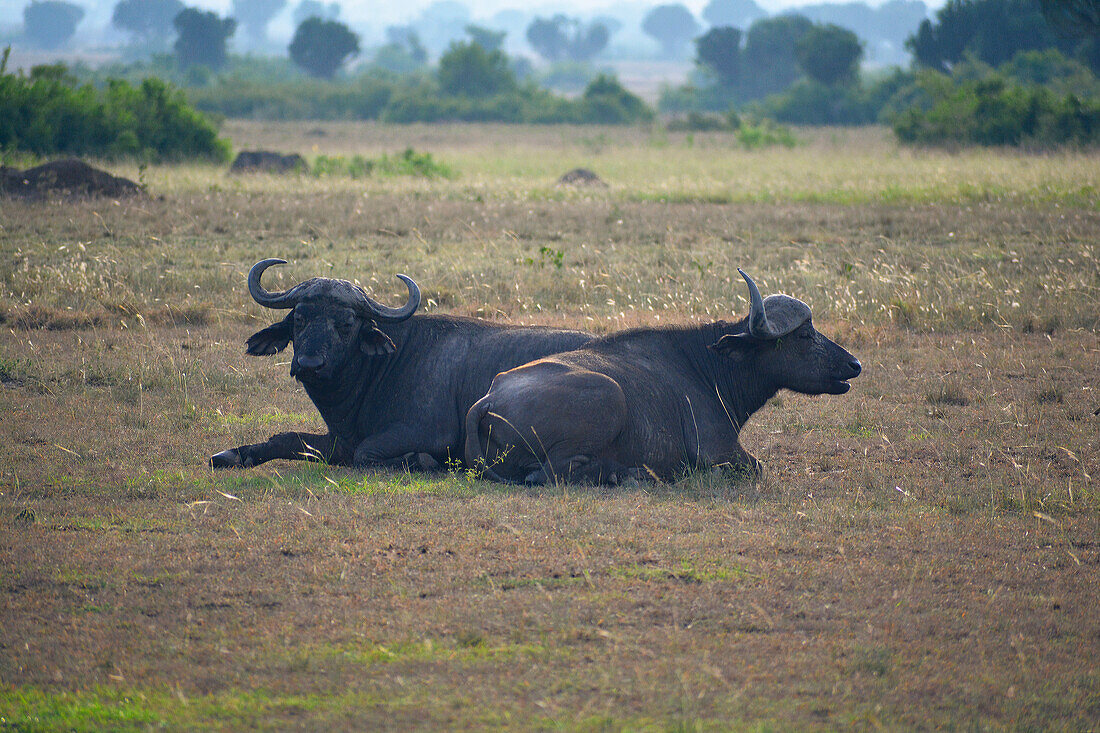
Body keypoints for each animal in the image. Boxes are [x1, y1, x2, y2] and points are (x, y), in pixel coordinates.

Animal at [209, 259, 589, 468]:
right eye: (299, 318)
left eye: (347, 323)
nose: (309, 364)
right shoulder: (339, 440)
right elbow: (286, 439)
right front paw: (231, 455)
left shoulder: (425, 433)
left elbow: (366, 453)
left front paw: (421, 461)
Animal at [464, 270, 858, 482]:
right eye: (804, 335)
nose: (854, 364)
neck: (708, 367)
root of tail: (488, 399)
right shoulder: (720, 450)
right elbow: (756, 467)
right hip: (609, 394)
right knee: (548, 473)